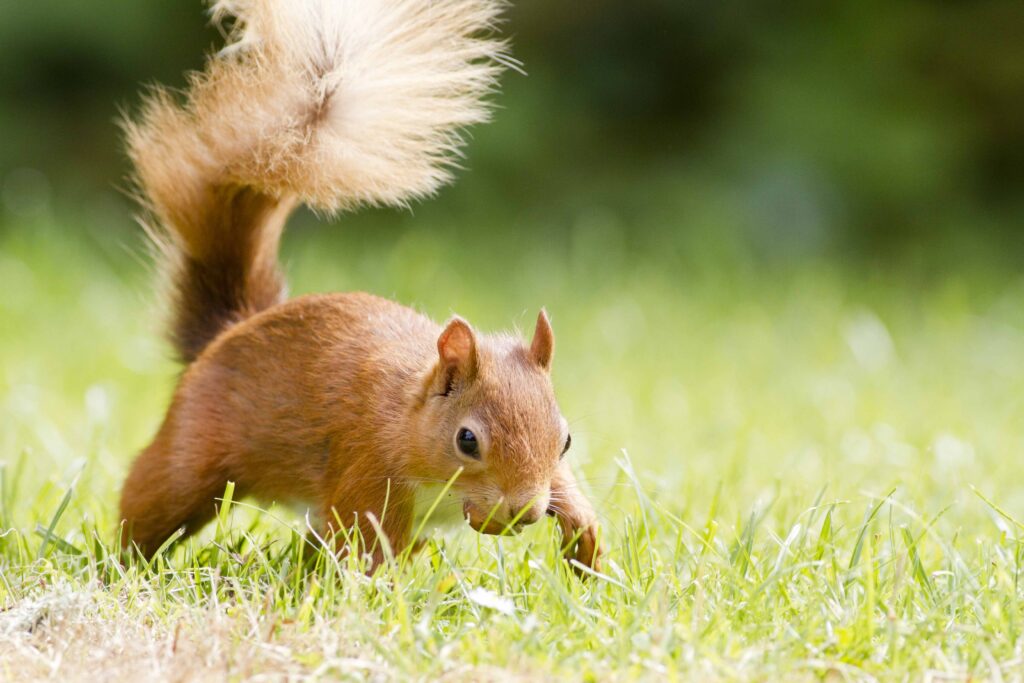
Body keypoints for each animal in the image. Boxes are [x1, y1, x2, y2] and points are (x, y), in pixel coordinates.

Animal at [117, 0, 598, 573]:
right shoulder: (369, 469)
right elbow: (364, 550)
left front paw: (586, 541)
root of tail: (231, 328)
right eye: (467, 440)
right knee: (150, 497)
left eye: (565, 438)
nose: (524, 512)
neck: (409, 418)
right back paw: (119, 563)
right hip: (193, 453)